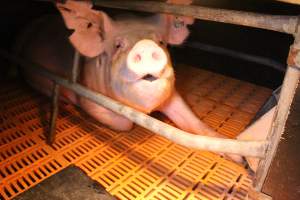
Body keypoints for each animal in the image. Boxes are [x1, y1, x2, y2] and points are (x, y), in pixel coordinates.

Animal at [17, 0, 237, 144]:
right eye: (117, 45)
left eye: (161, 42)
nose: (146, 46)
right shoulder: (88, 99)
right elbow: (124, 123)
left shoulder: (171, 95)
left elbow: (194, 122)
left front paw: (239, 158)